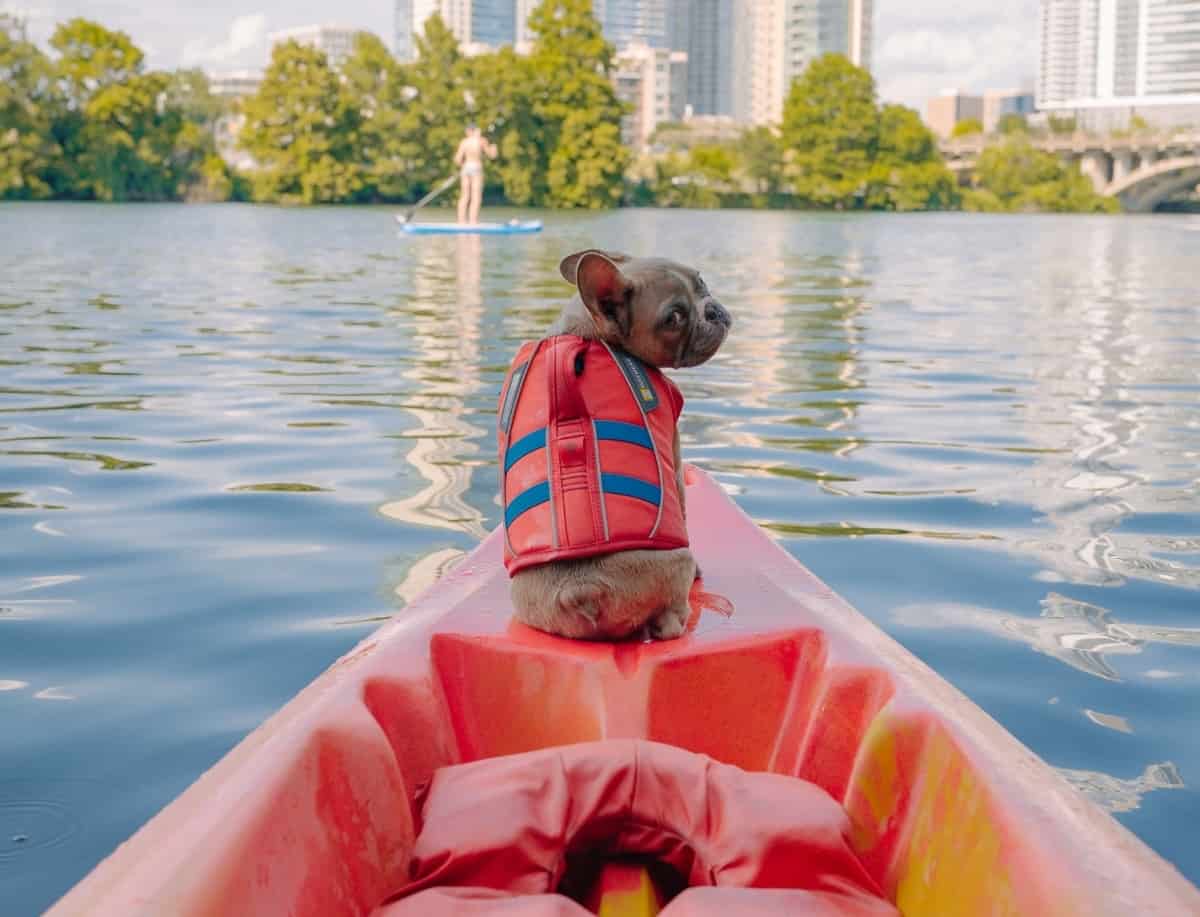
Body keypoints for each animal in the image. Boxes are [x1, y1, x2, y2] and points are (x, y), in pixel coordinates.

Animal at [496, 247, 729, 643]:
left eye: (702, 282)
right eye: (674, 318)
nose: (712, 309)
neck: (589, 332)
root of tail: (580, 590)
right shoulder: (674, 451)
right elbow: (683, 505)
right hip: (675, 562)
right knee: (669, 620)